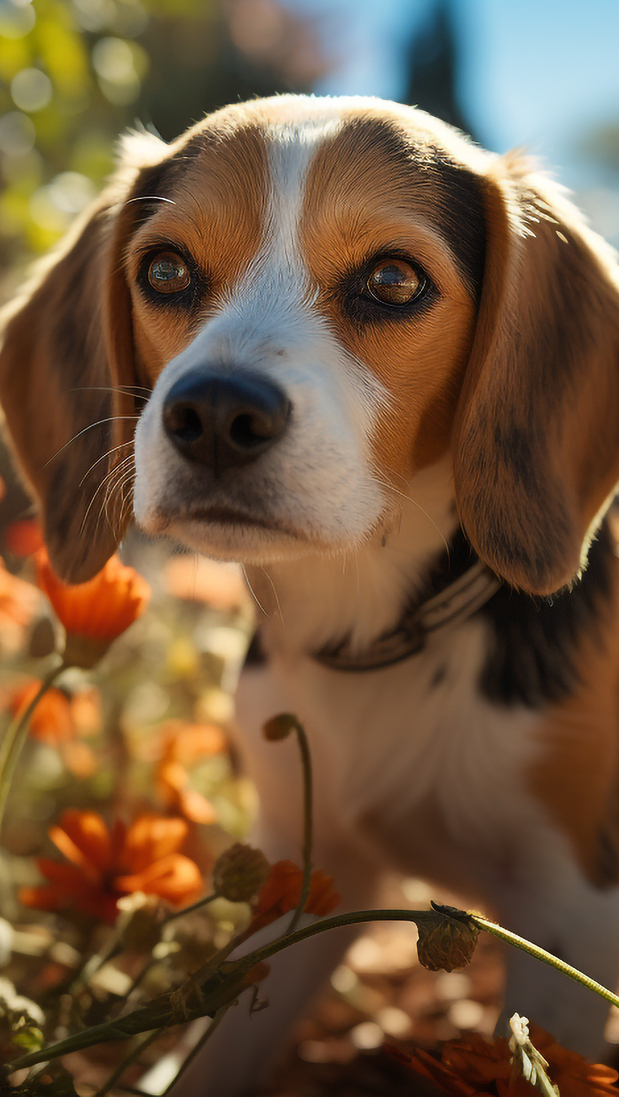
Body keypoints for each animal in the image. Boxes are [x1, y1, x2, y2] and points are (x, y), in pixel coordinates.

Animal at [1, 96, 619, 1097]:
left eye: (394, 280)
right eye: (165, 270)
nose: (215, 413)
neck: (374, 638)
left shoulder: (570, 912)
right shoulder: (309, 871)